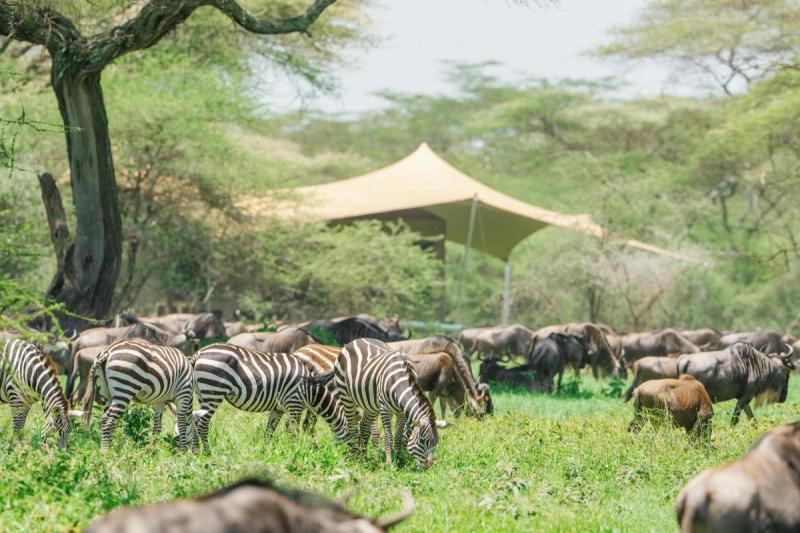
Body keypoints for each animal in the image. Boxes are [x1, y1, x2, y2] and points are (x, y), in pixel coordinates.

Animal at [191, 343, 348, 452]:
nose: (348, 458)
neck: (310, 390)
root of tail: (199, 353)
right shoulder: (294, 404)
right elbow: (292, 431)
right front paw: (295, 451)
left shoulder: (278, 409)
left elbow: (269, 432)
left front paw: (264, 453)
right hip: (214, 392)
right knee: (202, 424)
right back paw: (208, 453)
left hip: (202, 394)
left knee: (194, 421)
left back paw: (196, 452)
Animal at [331, 338, 441, 469]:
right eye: (423, 440)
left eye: (436, 443)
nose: (428, 467)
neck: (399, 381)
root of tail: (355, 340)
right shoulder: (384, 409)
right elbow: (388, 437)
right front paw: (389, 464)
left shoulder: (401, 413)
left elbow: (398, 437)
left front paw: (398, 460)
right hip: (346, 395)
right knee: (352, 427)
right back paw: (354, 456)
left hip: (370, 405)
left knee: (364, 427)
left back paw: (363, 458)